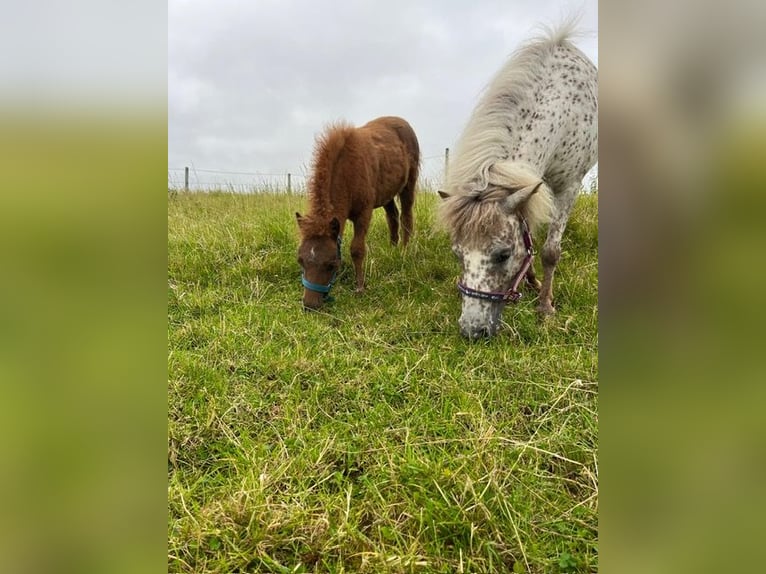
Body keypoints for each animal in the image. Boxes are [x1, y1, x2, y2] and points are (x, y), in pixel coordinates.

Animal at [296, 115, 424, 310]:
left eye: (331, 264)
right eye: (301, 260)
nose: (310, 305)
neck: (347, 170)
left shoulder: (364, 213)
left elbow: (356, 249)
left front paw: (360, 287)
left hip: (408, 184)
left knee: (406, 216)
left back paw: (404, 251)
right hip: (386, 194)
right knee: (393, 217)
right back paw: (392, 249)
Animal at [438, 24, 600, 340]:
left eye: (502, 255)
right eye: (458, 255)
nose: (472, 330)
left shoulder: (569, 187)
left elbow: (550, 251)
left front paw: (545, 306)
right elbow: (529, 233)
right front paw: (530, 280)